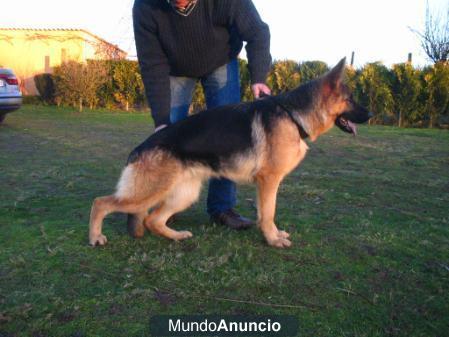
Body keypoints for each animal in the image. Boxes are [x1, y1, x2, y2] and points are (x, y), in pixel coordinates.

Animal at [87, 57, 372, 247]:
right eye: (350, 99)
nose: (370, 115)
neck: (293, 116)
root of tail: (140, 147)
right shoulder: (268, 181)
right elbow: (269, 212)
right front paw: (272, 239)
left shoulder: (267, 183)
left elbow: (267, 212)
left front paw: (274, 234)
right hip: (148, 192)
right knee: (101, 202)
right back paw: (95, 236)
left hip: (184, 193)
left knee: (152, 220)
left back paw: (176, 236)